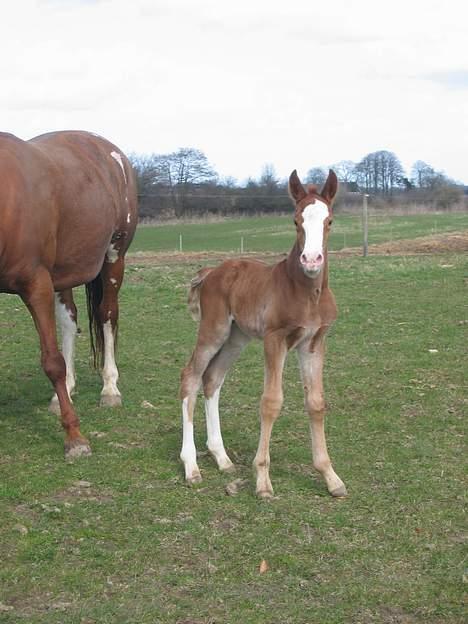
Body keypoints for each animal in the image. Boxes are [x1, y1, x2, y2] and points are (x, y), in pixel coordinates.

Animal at [0, 130, 138, 458]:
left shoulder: (36, 284)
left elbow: (52, 362)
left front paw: (75, 436)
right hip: (63, 273)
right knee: (68, 321)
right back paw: (69, 388)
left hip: (114, 258)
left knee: (107, 315)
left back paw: (109, 388)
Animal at [180, 169, 348, 498]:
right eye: (296, 220)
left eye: (330, 221)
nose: (311, 260)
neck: (307, 294)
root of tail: (210, 273)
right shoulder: (275, 339)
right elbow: (271, 402)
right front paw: (262, 480)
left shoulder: (314, 342)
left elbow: (316, 403)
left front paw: (331, 477)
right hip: (214, 330)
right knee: (190, 376)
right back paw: (191, 467)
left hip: (236, 337)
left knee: (212, 379)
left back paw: (222, 458)